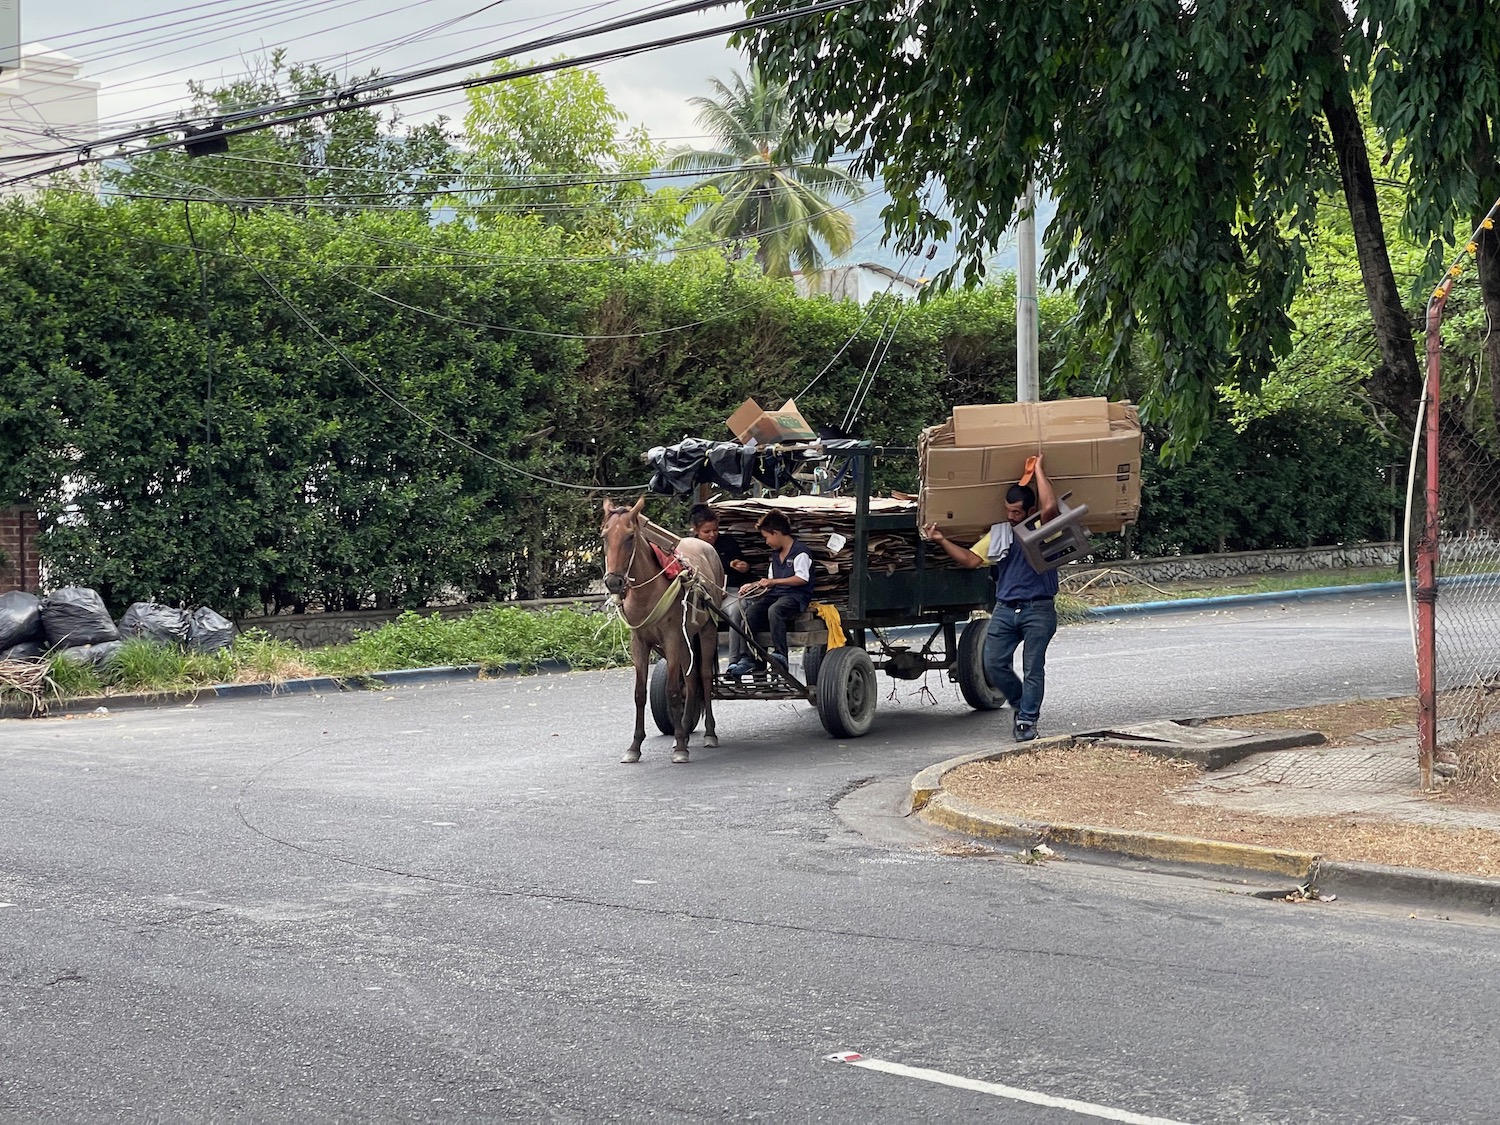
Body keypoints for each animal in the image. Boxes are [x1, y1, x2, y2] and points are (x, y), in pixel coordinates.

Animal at [597, 501, 726, 768]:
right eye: (604, 536)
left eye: (630, 537)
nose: (614, 582)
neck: (647, 592)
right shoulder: (639, 641)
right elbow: (639, 693)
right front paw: (635, 746)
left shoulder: (672, 638)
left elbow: (672, 691)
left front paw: (680, 748)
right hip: (687, 639)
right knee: (691, 678)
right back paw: (684, 730)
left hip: (706, 630)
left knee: (704, 677)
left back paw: (707, 733)